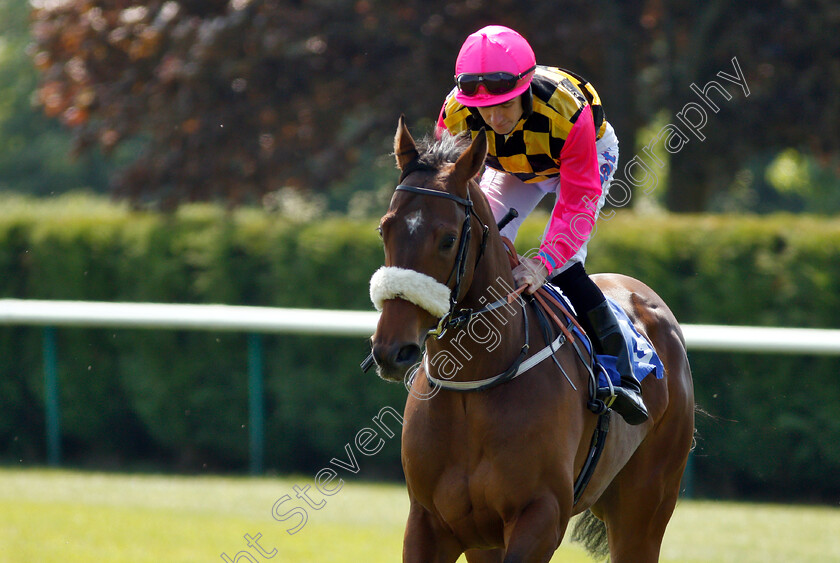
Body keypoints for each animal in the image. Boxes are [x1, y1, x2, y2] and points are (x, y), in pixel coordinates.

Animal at [370, 117, 696, 560]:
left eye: (448, 239)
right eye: (384, 228)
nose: (392, 350)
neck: (475, 383)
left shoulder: (541, 515)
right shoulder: (430, 522)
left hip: (644, 508)